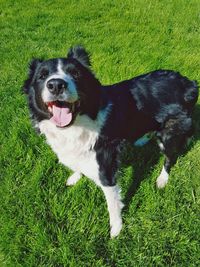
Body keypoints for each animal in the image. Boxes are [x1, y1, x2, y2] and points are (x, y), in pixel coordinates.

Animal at [22, 45, 198, 239]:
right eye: (42, 76)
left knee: (169, 157)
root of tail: (187, 82)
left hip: (168, 135)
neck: (77, 124)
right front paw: (76, 175)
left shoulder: (106, 166)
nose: (56, 85)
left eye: (75, 73)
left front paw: (116, 229)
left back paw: (162, 179)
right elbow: (77, 163)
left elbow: (112, 203)